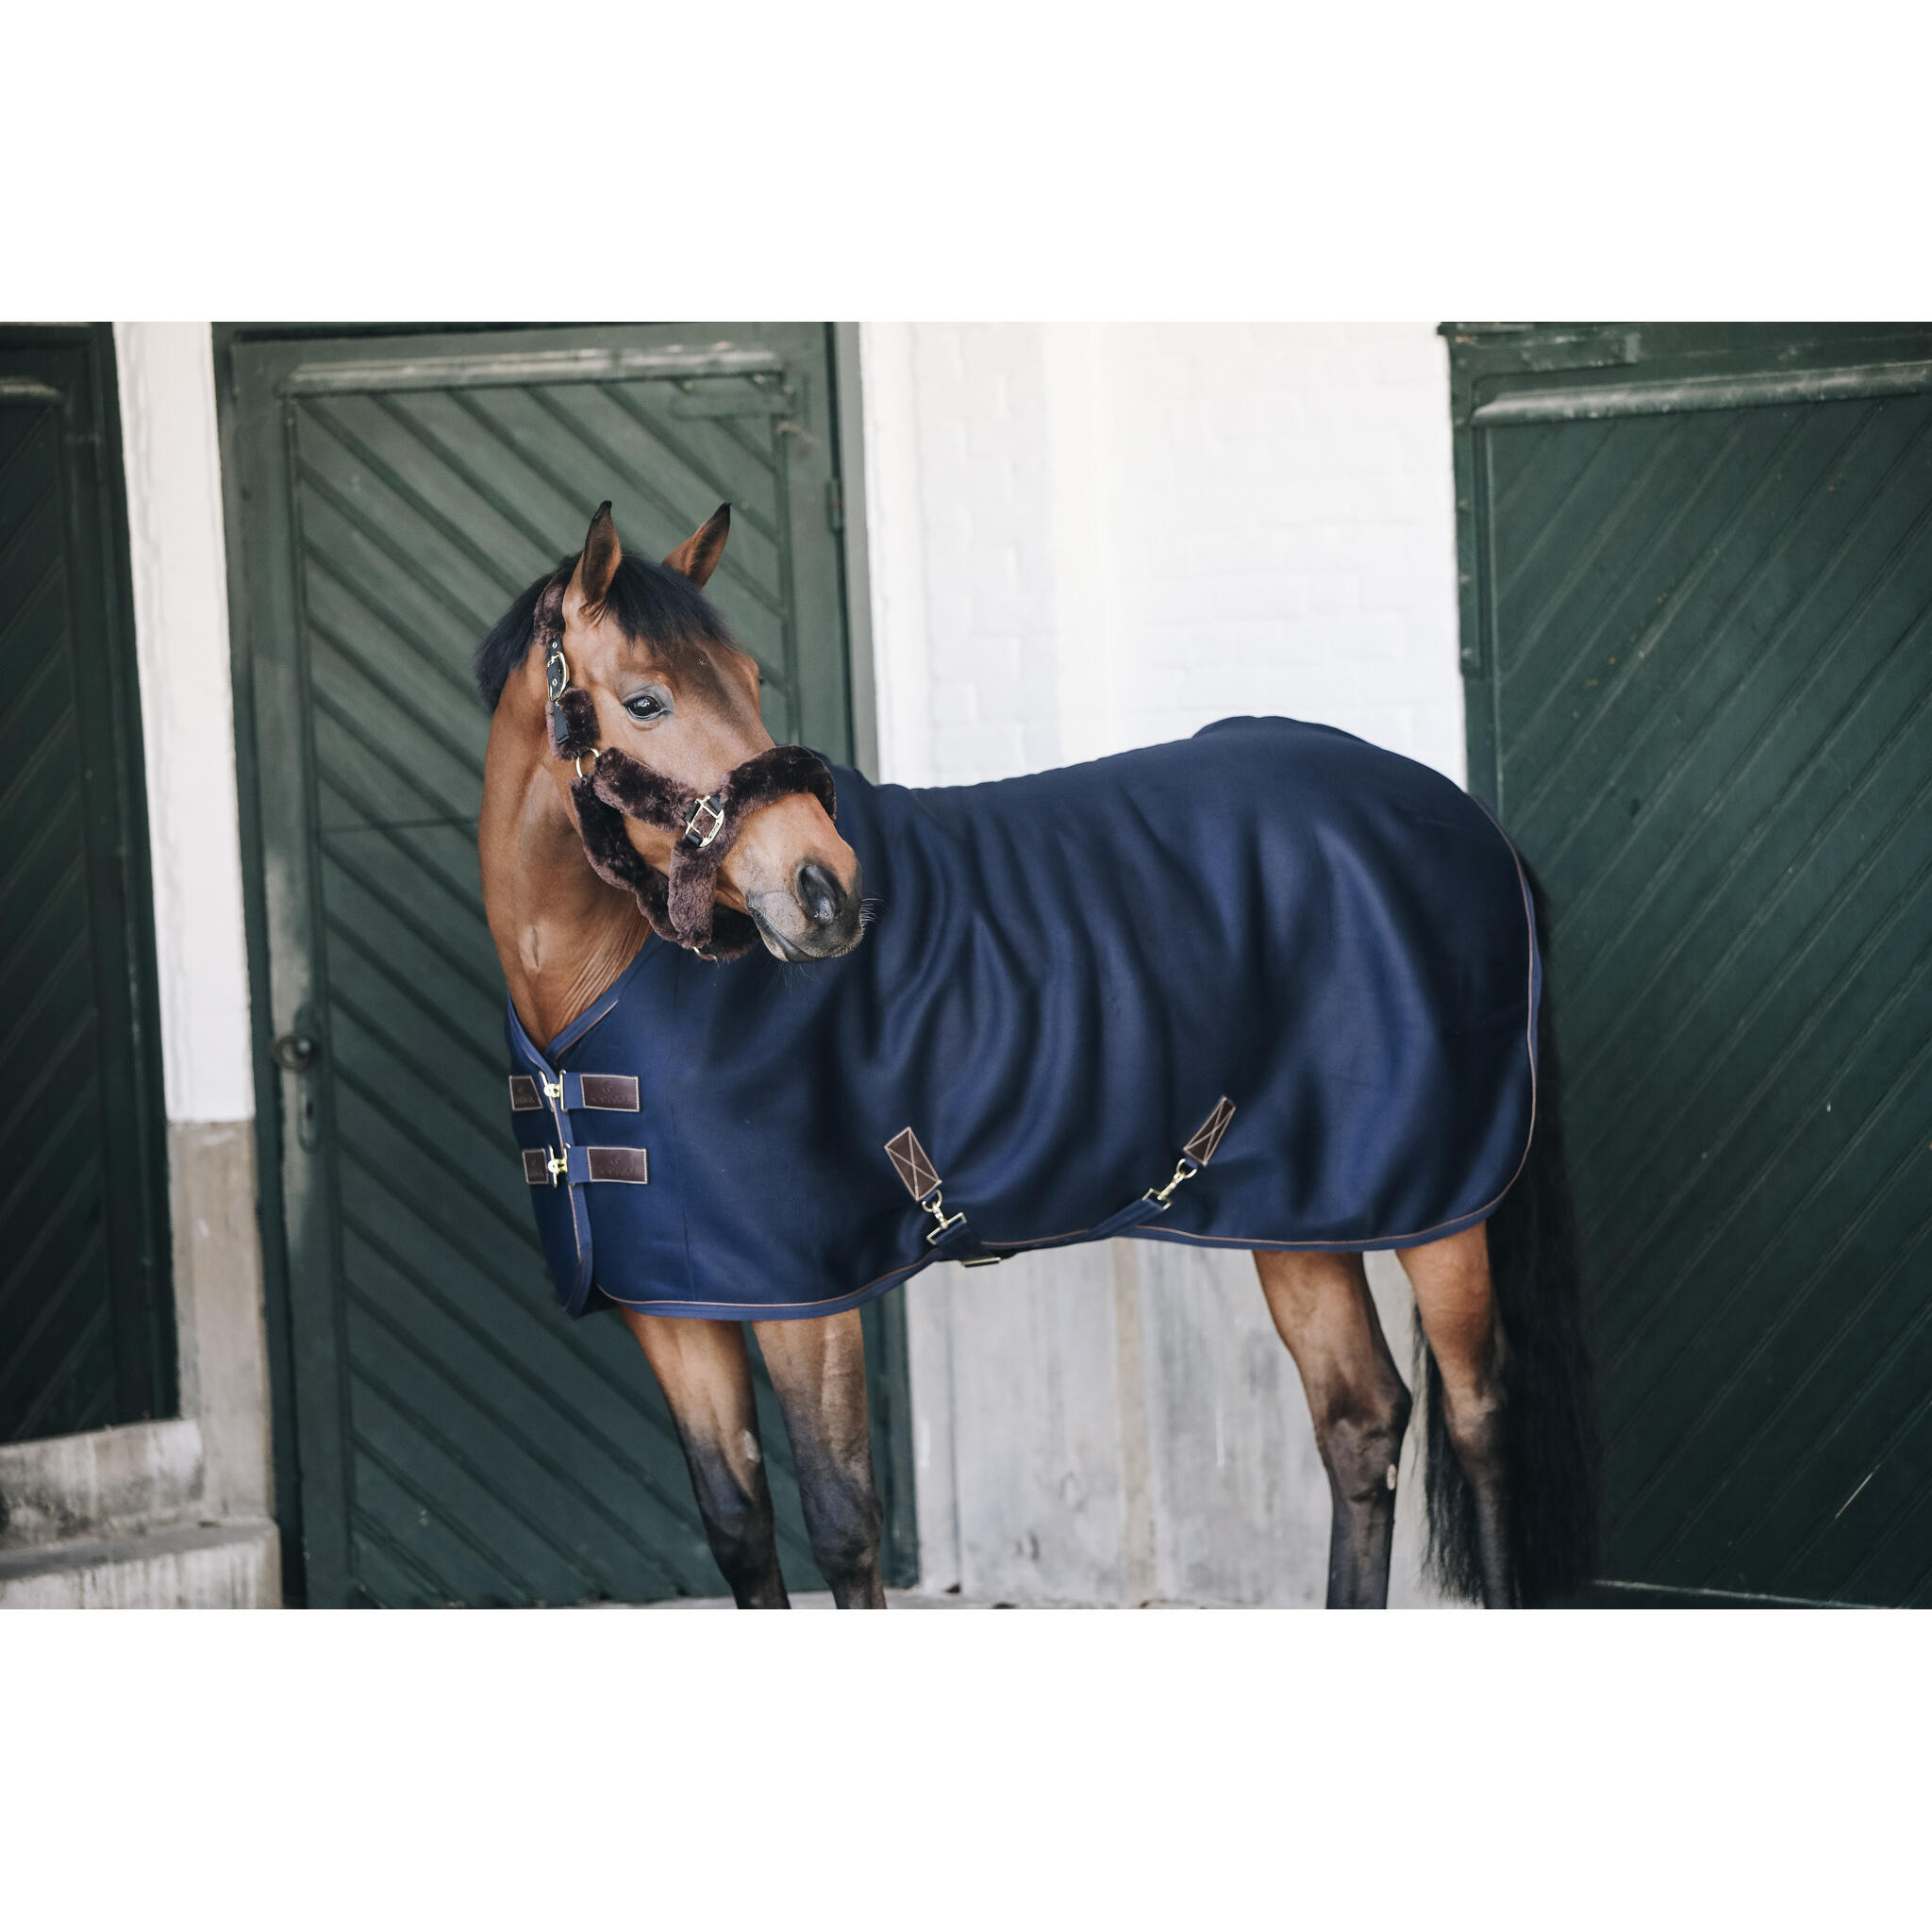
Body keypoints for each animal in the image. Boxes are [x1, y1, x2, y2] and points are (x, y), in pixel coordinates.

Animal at [475, 501, 1600, 1609]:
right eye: (646, 700)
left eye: (750, 681)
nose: (828, 892)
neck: (599, 992)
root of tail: (1463, 817)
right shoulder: (671, 1308)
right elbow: (740, 1531)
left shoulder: (804, 1303)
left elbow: (841, 1527)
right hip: (1298, 1212)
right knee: (1359, 1420)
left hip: (1443, 1215)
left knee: (1480, 1418)